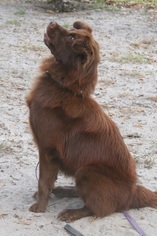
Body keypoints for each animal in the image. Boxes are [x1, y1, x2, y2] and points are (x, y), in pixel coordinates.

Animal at [26, 21, 156, 222]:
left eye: (71, 37)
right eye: (72, 31)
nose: (52, 22)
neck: (64, 87)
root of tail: (134, 192)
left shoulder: (47, 150)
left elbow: (43, 181)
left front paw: (40, 207)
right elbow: (49, 180)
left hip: (87, 171)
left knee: (98, 208)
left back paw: (71, 212)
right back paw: (63, 190)